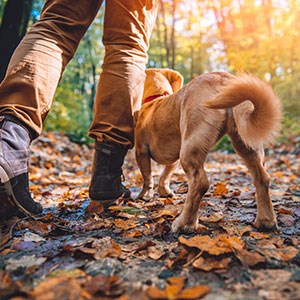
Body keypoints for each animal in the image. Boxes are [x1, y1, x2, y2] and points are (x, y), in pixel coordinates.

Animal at [135, 68, 282, 234]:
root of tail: (223, 78)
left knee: (200, 183)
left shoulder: (141, 151)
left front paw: (144, 195)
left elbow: (147, 178)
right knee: (262, 178)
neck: (156, 99)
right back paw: (266, 221)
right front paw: (164, 191)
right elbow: (165, 175)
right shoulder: (173, 160)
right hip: (246, 145)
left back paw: (185, 223)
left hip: (189, 147)